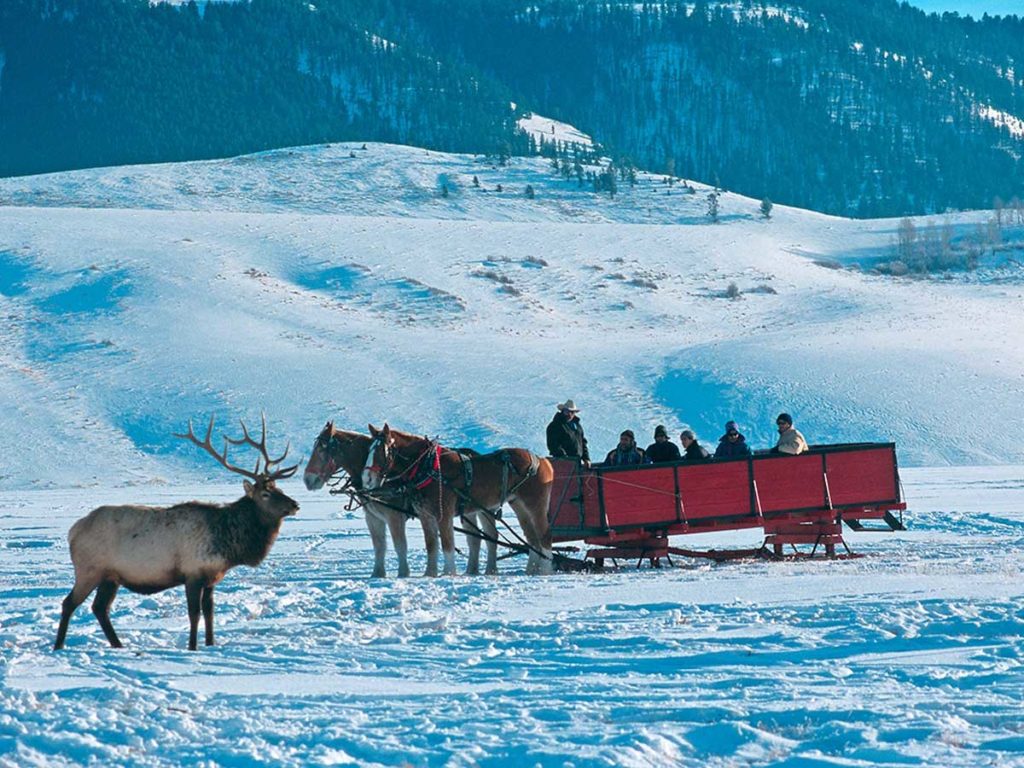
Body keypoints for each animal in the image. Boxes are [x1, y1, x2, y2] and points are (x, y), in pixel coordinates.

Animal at [54, 417, 299, 651]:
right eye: (266, 494)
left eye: (279, 488)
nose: (295, 504)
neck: (228, 541)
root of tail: (73, 531)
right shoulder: (192, 574)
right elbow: (194, 614)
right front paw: (192, 647)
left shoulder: (211, 577)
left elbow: (210, 612)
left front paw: (211, 643)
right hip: (89, 570)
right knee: (69, 603)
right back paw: (59, 646)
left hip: (110, 577)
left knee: (99, 608)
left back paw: (118, 645)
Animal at [360, 428, 552, 577]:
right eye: (368, 450)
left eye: (381, 451)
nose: (366, 479)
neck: (428, 467)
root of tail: (542, 460)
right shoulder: (425, 516)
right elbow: (431, 544)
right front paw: (430, 573)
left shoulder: (443, 514)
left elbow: (447, 543)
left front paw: (448, 572)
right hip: (519, 506)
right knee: (532, 538)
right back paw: (531, 570)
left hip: (535, 505)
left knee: (544, 535)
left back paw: (545, 570)